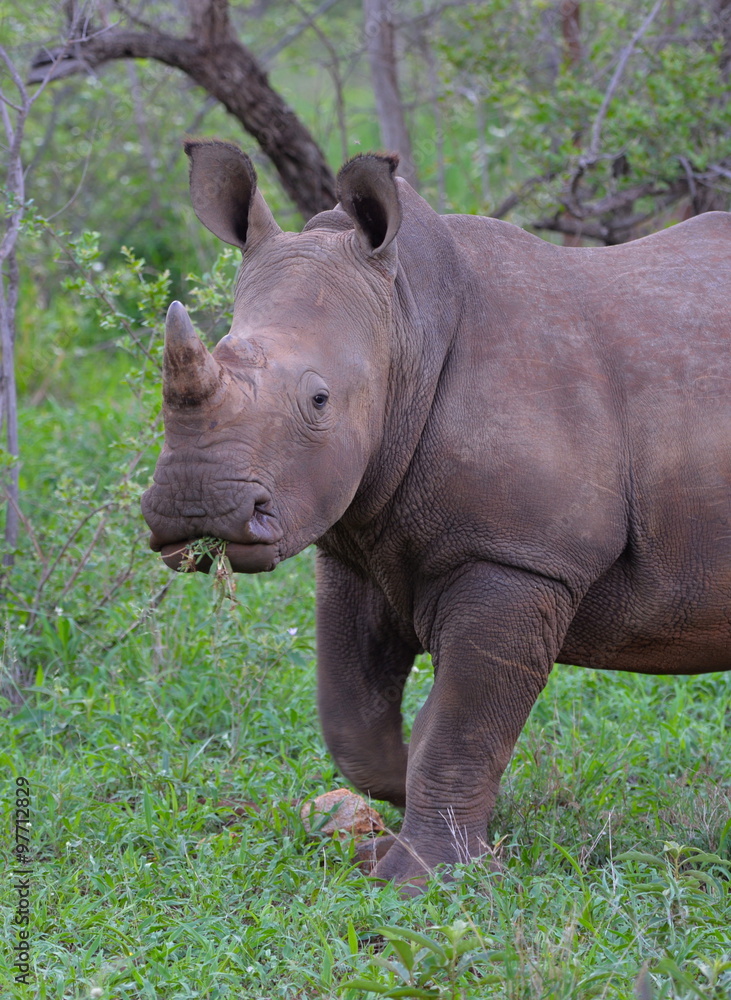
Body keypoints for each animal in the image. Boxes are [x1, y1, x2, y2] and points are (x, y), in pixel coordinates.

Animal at [142, 140, 731, 890]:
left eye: (319, 400)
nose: (196, 508)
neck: (405, 323)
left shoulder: (521, 557)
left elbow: (463, 724)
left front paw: (422, 878)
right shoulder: (357, 541)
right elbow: (351, 717)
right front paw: (395, 822)